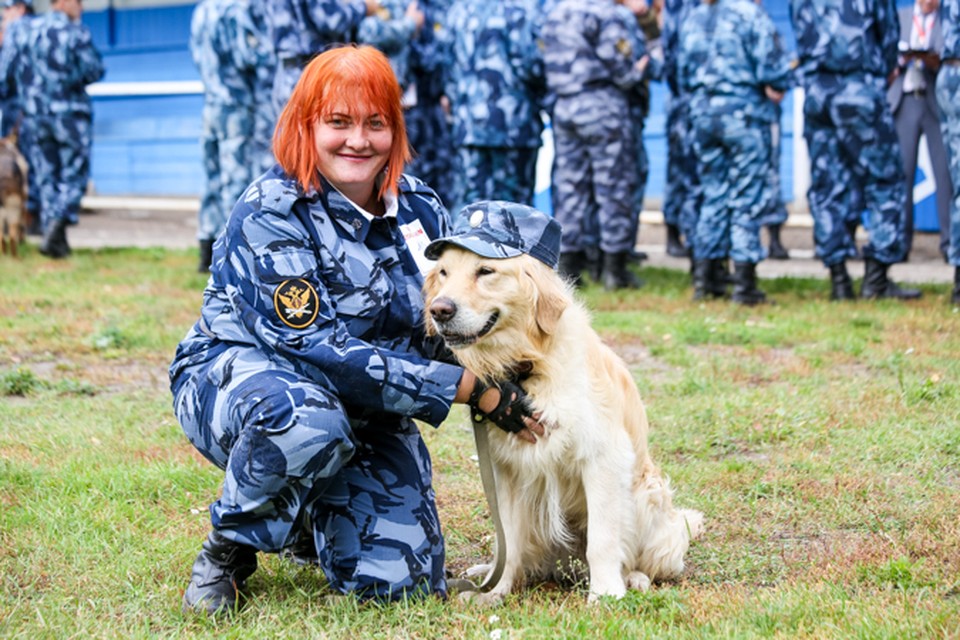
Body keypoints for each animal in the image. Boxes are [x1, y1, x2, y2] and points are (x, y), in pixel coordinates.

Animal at [424, 202, 700, 604]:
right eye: (443, 272)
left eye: (486, 271)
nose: (438, 310)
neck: (530, 365)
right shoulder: (506, 468)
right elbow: (509, 539)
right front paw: (495, 592)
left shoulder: (603, 457)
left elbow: (603, 539)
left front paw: (605, 594)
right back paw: (484, 573)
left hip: (649, 498)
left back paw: (633, 578)